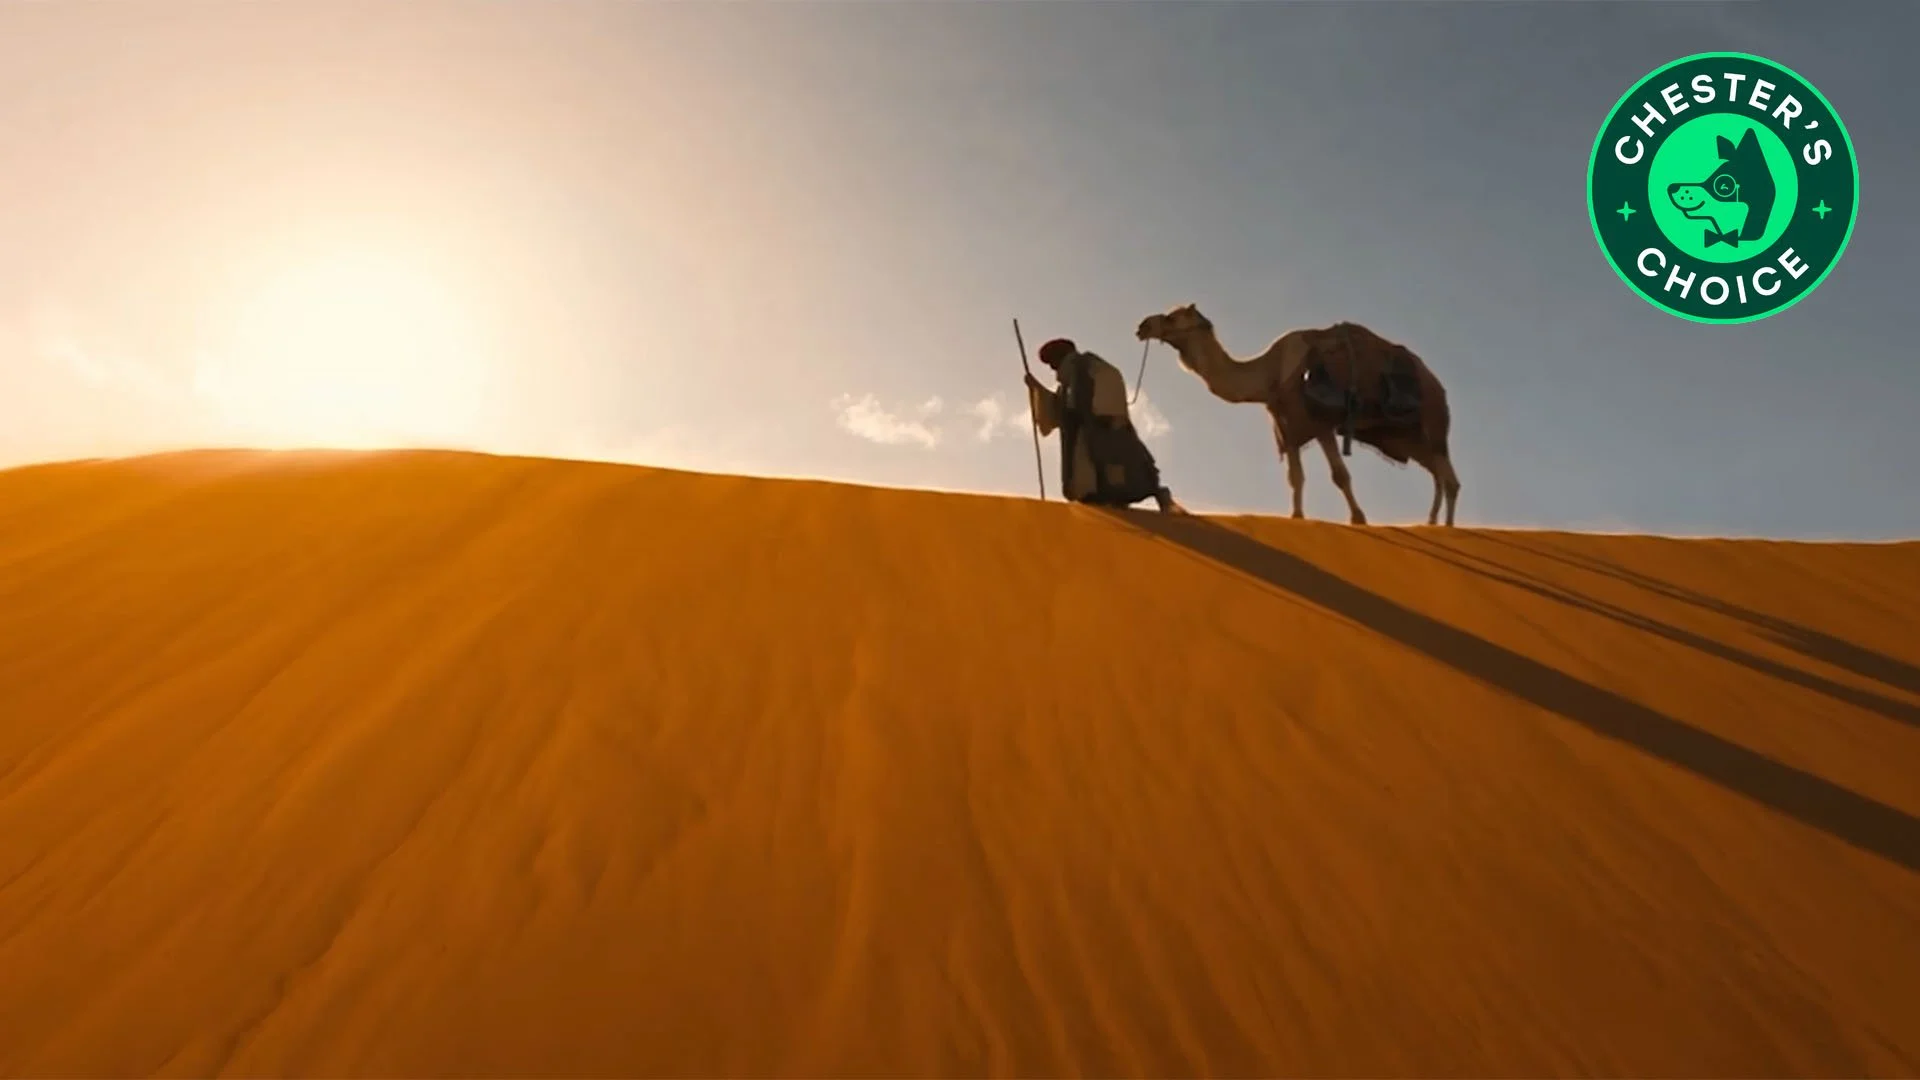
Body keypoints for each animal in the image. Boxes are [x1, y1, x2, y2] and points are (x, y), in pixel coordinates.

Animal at [1136, 303, 1462, 526]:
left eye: (1173, 317)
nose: (1142, 326)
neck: (1271, 372)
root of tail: (1439, 385)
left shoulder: (1321, 422)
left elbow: (1340, 475)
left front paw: (1358, 519)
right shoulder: (1287, 427)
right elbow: (1296, 477)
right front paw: (1297, 516)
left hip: (1433, 420)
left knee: (1450, 479)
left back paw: (1445, 527)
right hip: (1408, 437)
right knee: (1438, 475)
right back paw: (1432, 523)